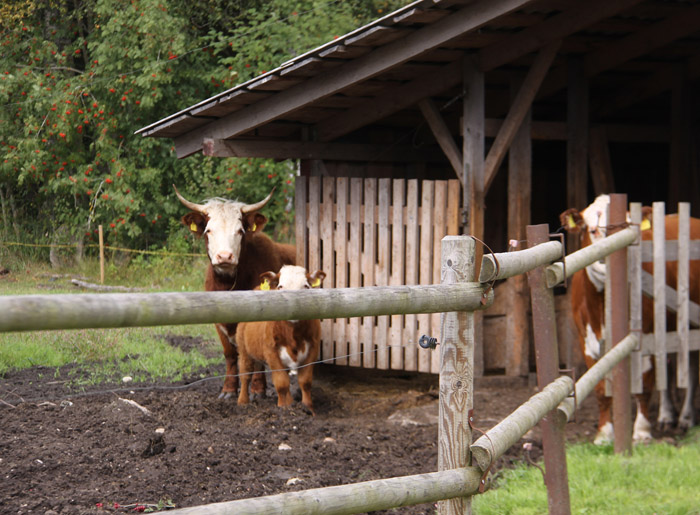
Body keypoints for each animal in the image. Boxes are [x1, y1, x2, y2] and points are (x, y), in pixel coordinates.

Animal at [176, 187, 296, 402]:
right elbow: (230, 355)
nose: (225, 256)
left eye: (240, 231)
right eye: (208, 230)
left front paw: (257, 390)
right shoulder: (219, 323)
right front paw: (229, 389)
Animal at [234, 266, 324, 416]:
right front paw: (283, 409)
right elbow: (281, 383)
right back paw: (242, 402)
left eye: (306, 286)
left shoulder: (313, 349)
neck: (294, 335)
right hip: (243, 350)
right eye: (281, 286)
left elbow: (305, 382)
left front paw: (308, 408)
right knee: (245, 375)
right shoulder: (272, 352)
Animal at [564, 196, 700, 446]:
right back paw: (667, 416)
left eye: (628, 228)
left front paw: (642, 431)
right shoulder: (586, 341)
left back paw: (686, 417)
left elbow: (645, 385)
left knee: (691, 369)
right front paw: (604, 434)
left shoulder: (644, 335)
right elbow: (600, 389)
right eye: (592, 229)